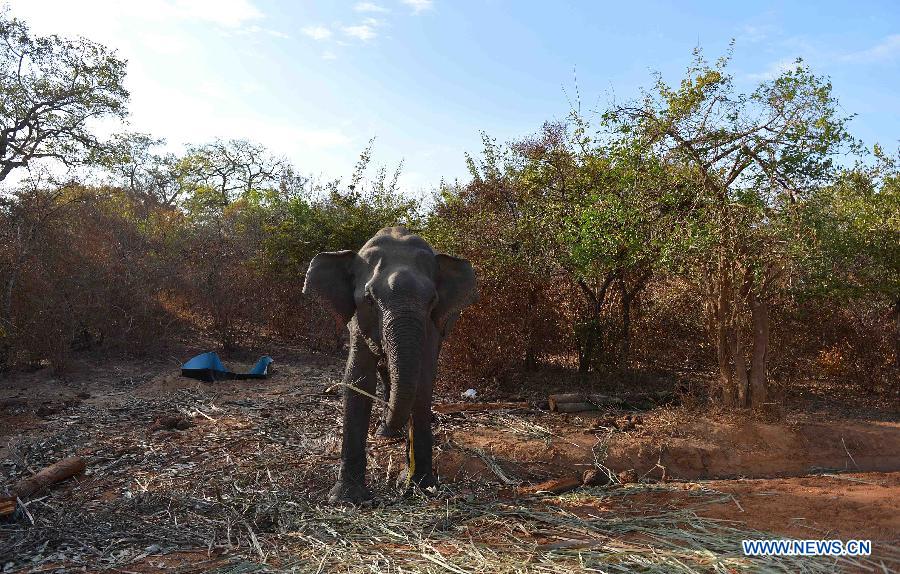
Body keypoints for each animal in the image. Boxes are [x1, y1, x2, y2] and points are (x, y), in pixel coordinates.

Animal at [302, 227, 478, 506]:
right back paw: (386, 431)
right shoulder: (358, 320)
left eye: (432, 300)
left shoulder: (432, 325)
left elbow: (423, 381)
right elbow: (358, 379)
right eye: (369, 299)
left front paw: (419, 486)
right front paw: (347, 499)